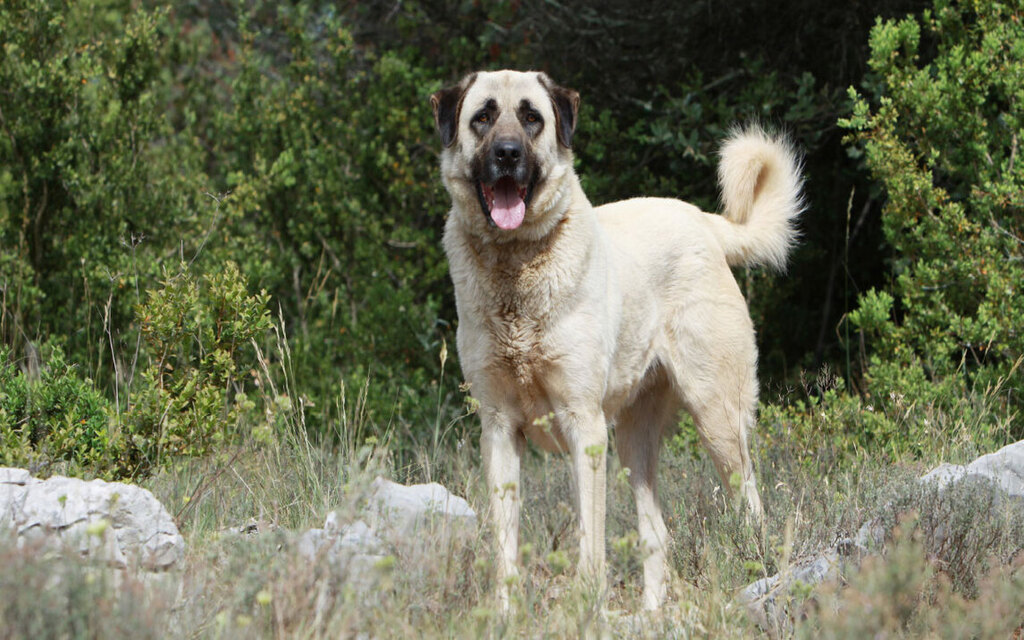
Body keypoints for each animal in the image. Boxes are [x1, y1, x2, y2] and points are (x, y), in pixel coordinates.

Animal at [428, 69, 802, 610]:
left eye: (531, 118)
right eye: (482, 117)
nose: (507, 154)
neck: (516, 268)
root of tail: (704, 221)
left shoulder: (583, 425)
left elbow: (591, 540)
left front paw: (587, 608)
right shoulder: (498, 430)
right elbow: (505, 545)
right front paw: (505, 612)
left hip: (717, 418)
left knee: (750, 502)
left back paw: (762, 572)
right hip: (633, 440)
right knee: (657, 533)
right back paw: (651, 614)